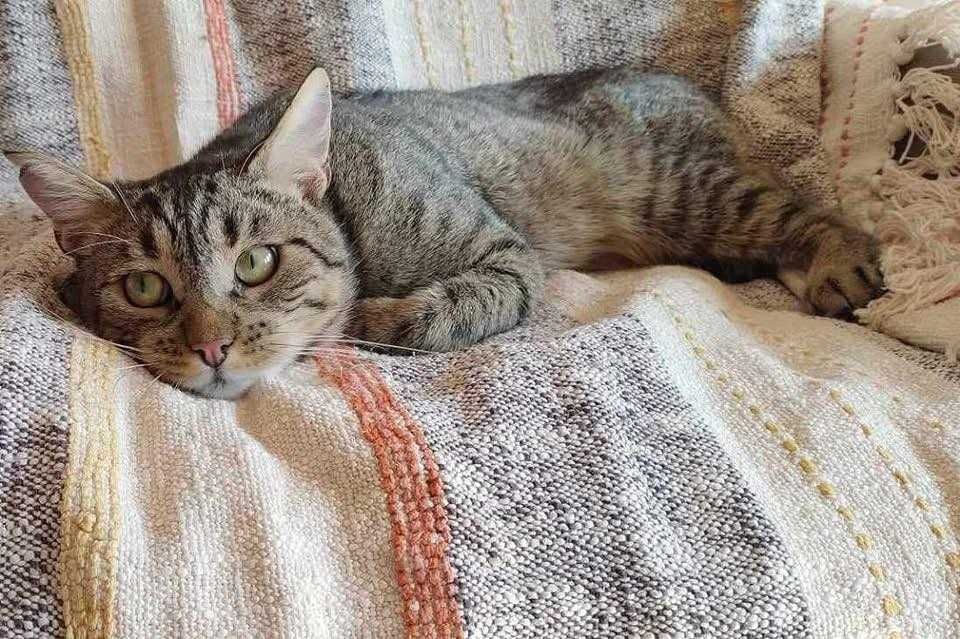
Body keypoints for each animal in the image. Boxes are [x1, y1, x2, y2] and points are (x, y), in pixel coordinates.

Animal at [4, 66, 882, 399]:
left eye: (255, 262)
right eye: (144, 286)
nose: (213, 346)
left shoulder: (506, 258)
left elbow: (437, 309)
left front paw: (373, 315)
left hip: (694, 196)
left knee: (807, 209)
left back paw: (839, 263)